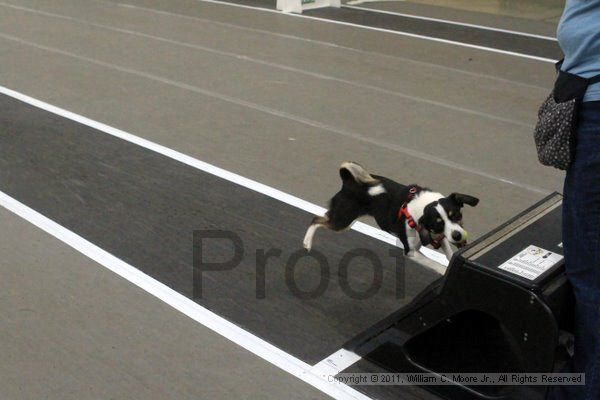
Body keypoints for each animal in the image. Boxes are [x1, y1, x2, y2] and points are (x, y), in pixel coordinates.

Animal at [302, 161, 480, 264]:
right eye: (439, 224)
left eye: (456, 215)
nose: (458, 235)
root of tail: (348, 181)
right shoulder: (410, 252)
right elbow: (436, 265)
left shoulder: (439, 238)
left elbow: (449, 254)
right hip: (342, 221)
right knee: (315, 219)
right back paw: (307, 243)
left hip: (346, 220)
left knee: (322, 217)